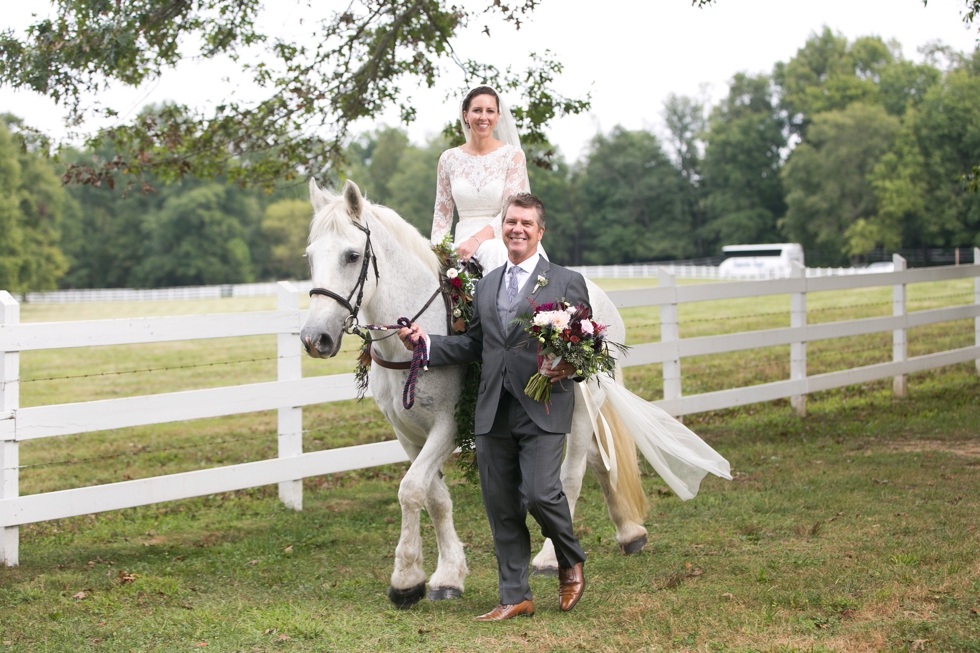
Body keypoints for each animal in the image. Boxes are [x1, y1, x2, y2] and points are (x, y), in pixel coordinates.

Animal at [300, 178, 652, 608]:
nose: (315, 338)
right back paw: (629, 531)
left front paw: (406, 579)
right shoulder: (407, 432)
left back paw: (551, 558)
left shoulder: (447, 426)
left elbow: (411, 490)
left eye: (352, 256)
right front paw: (446, 575)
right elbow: (433, 497)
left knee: (571, 475)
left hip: (583, 410)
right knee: (600, 462)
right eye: (310, 256)